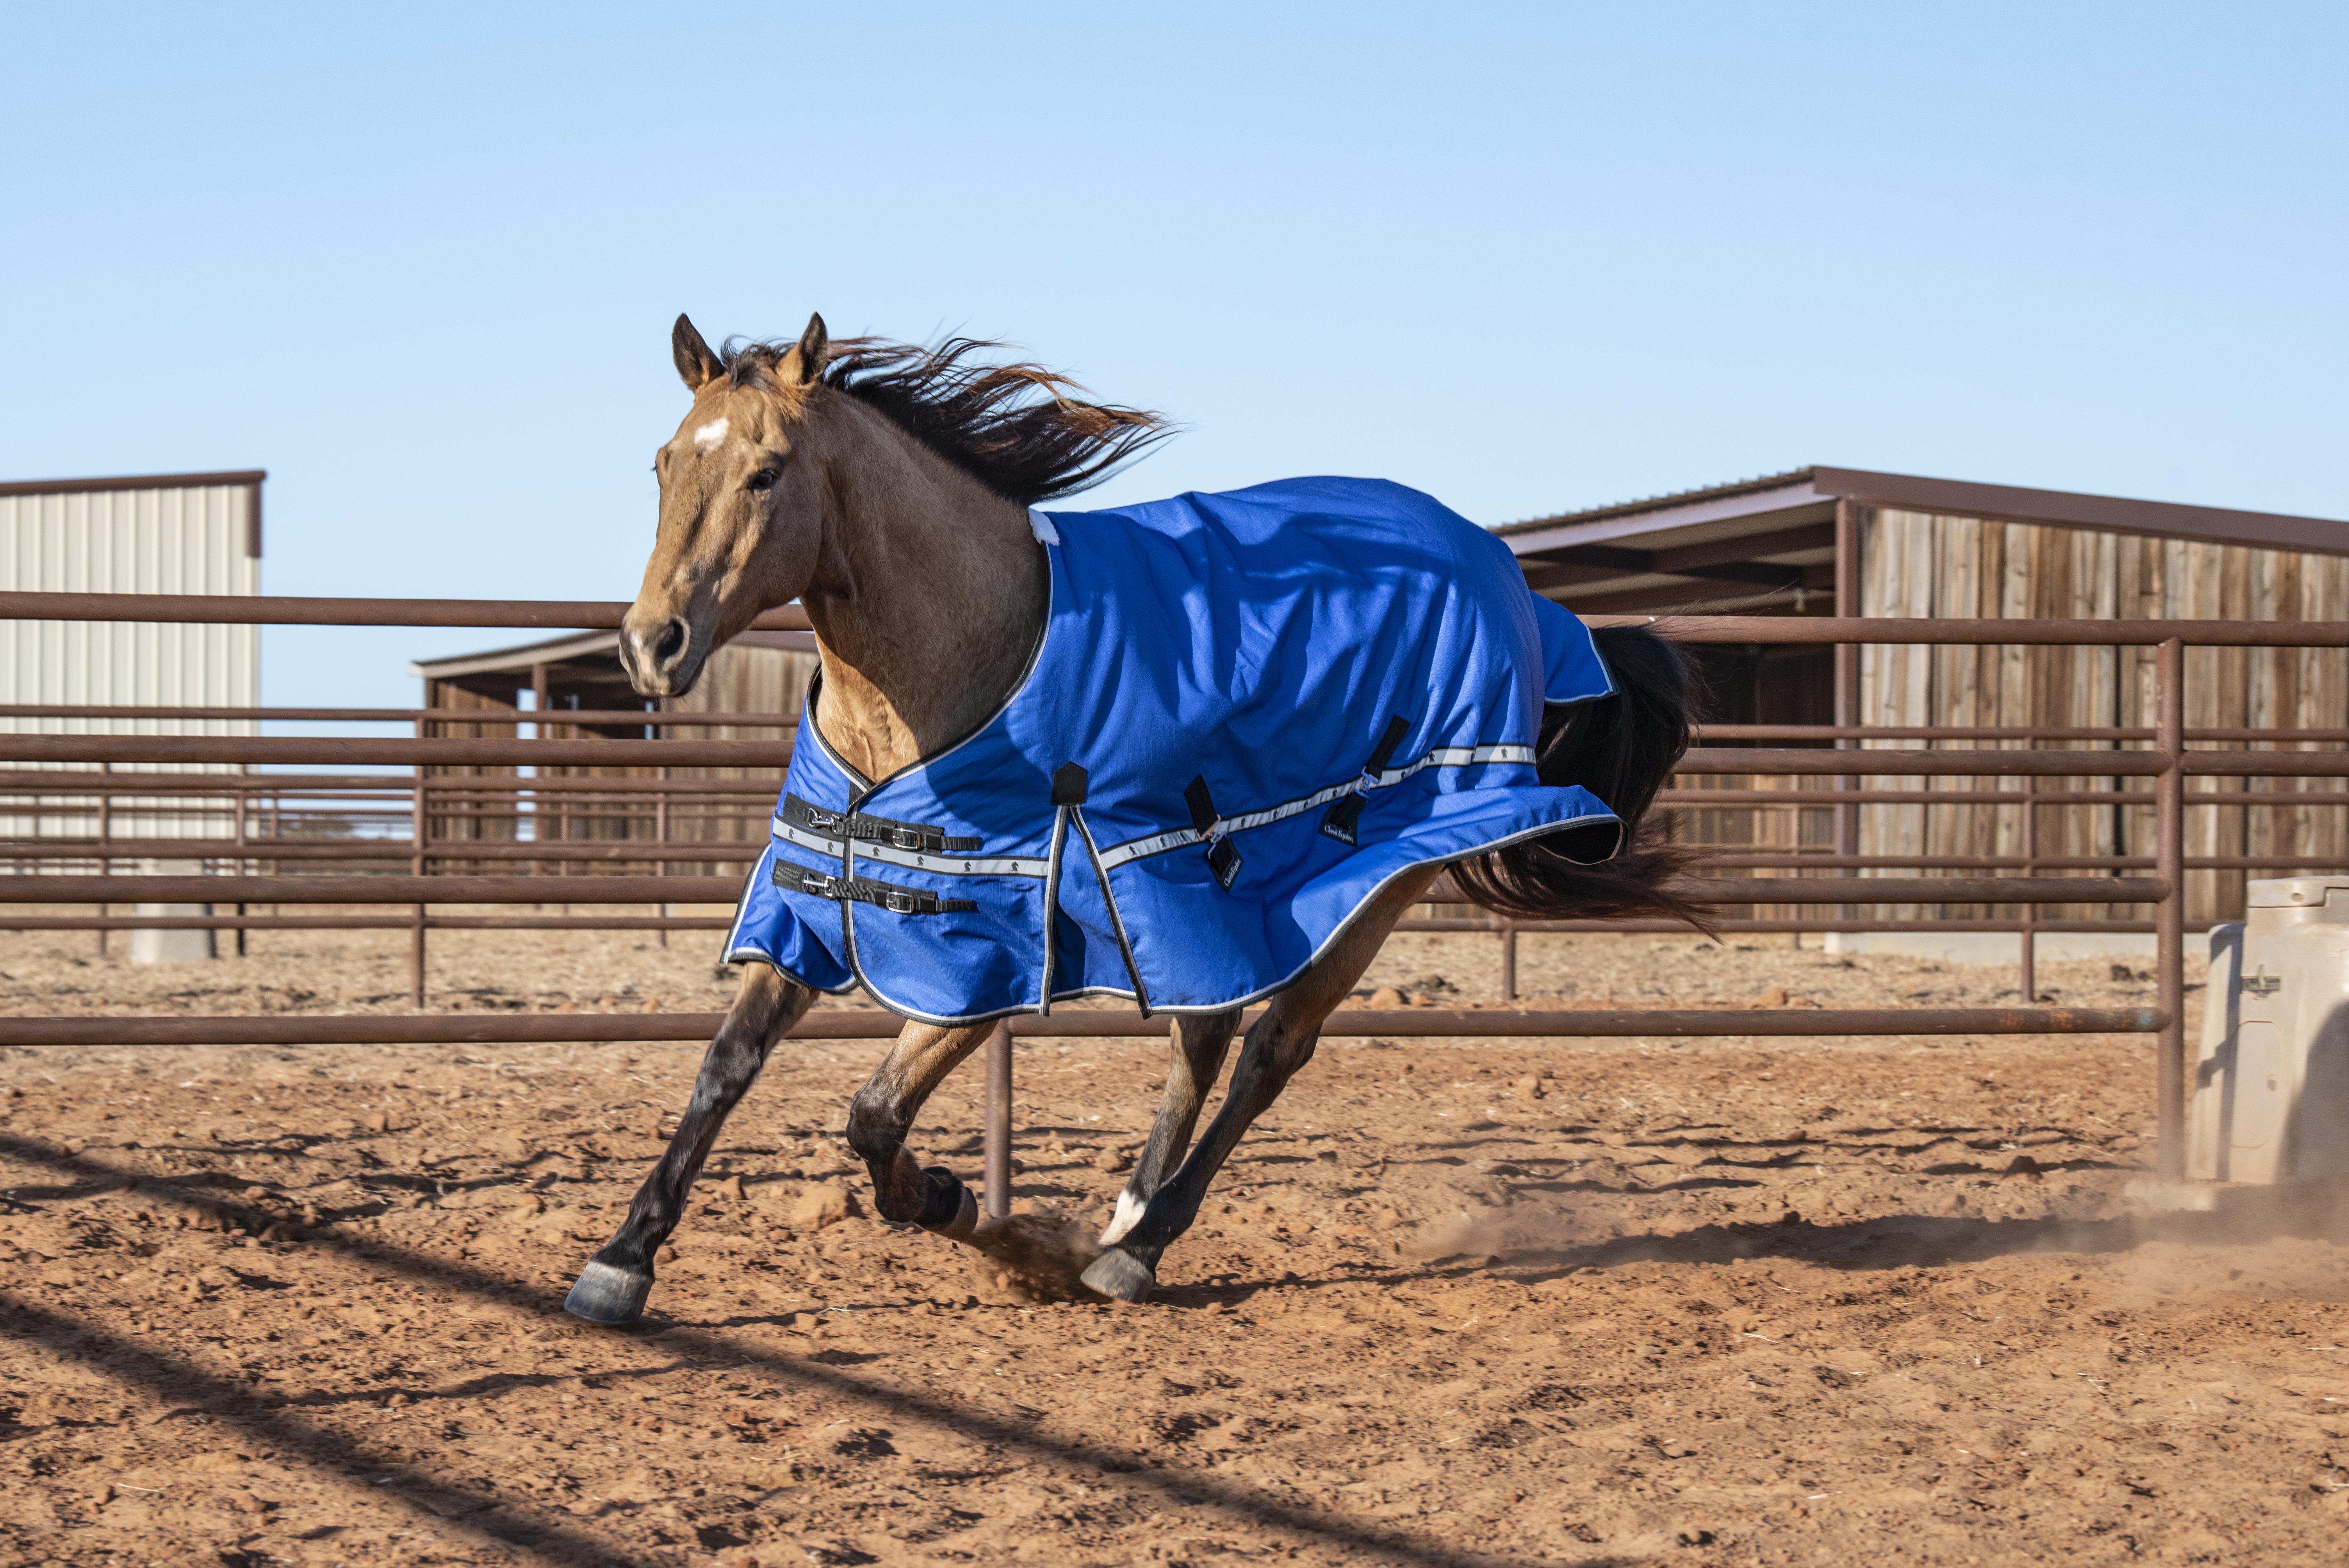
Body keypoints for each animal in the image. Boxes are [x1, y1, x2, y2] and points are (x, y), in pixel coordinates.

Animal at [563, 313, 1699, 1324]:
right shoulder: (813, 903)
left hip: (1378, 880)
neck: (954, 660)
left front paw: (965, 1209)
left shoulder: (992, 953)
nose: (651, 644)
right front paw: (623, 1259)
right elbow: (726, 1068)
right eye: (665, 465)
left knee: (1272, 1049)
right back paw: (1125, 1217)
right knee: (1206, 1034)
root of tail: (1518, 589)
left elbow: (875, 1114)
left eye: (767, 471)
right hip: (1216, 884)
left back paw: (1135, 1249)